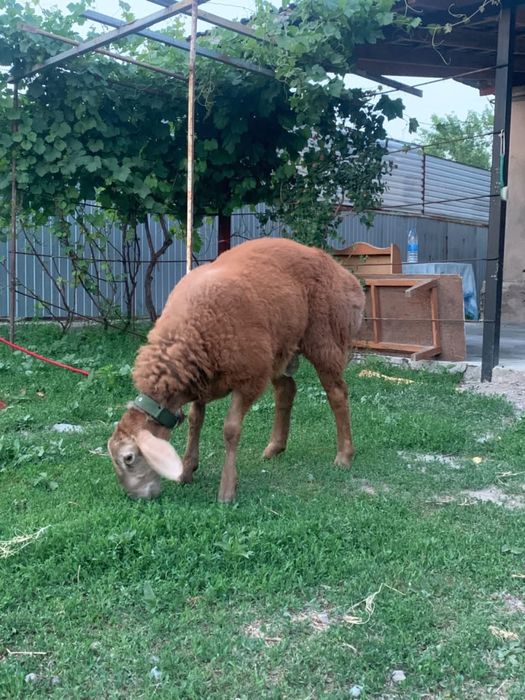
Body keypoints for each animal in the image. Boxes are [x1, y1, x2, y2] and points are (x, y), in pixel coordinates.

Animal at [108, 237, 365, 502]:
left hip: (324, 338)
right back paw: (275, 447)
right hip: (278, 349)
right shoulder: (201, 380)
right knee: (286, 389)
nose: (136, 497)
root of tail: (342, 272)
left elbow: (230, 429)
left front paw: (227, 488)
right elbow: (195, 420)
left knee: (337, 393)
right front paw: (188, 469)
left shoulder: (249, 378)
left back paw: (344, 455)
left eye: (129, 458)